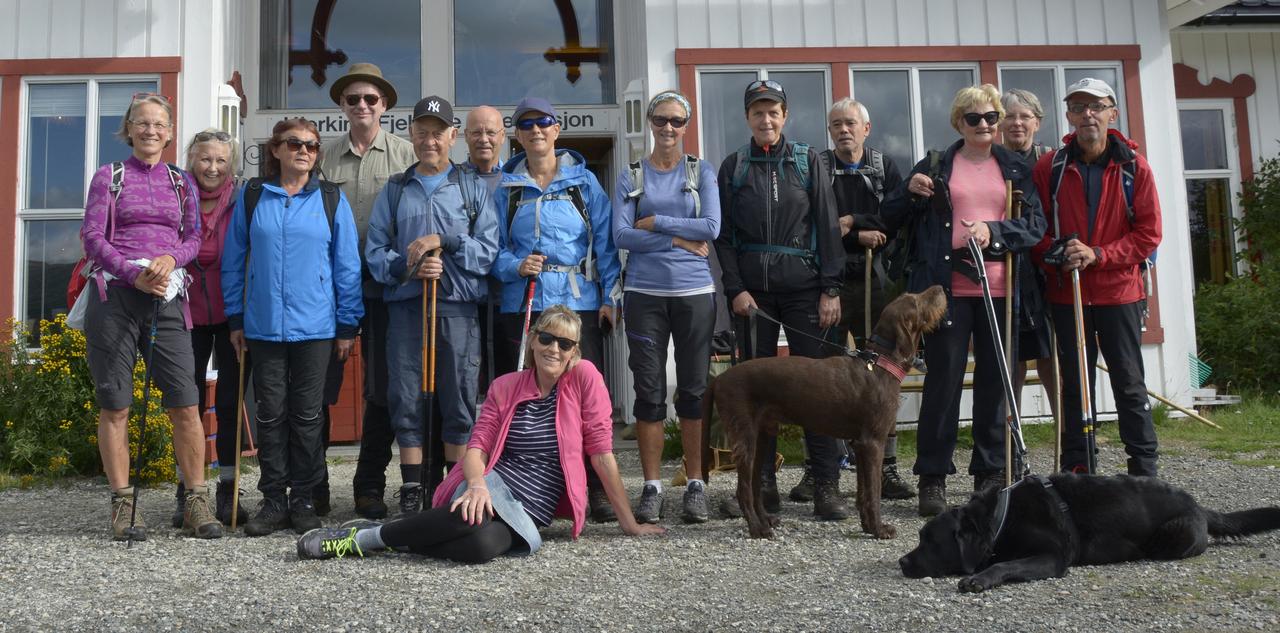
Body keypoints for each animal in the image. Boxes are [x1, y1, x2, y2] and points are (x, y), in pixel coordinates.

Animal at [701, 287, 952, 539]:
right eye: (916, 301)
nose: (940, 288)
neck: (879, 363)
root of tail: (719, 380)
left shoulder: (859, 444)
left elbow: (863, 492)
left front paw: (868, 526)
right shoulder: (873, 442)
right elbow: (873, 492)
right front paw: (879, 529)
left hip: (761, 437)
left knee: (754, 486)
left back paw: (766, 520)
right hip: (745, 437)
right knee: (743, 490)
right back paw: (757, 528)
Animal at [901, 475, 1280, 593]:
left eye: (929, 541)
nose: (902, 562)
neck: (998, 518)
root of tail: (1199, 506)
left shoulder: (1052, 558)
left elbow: (1003, 565)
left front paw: (978, 579)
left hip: (1176, 533)